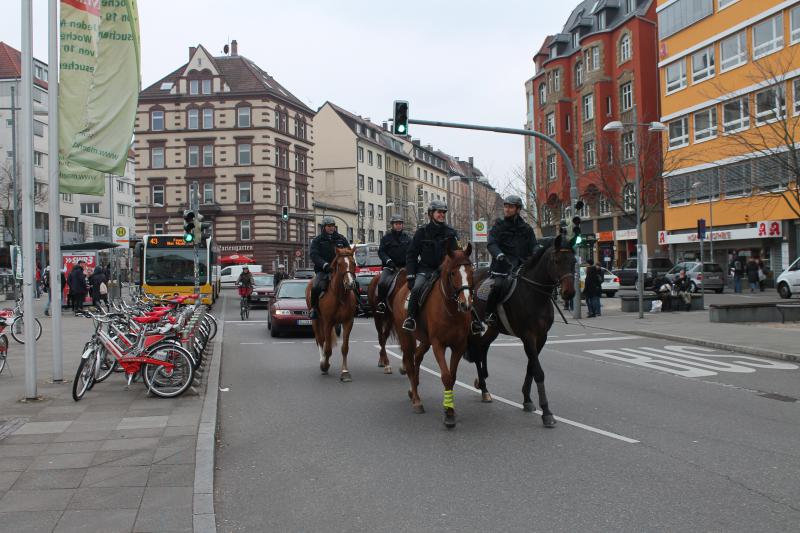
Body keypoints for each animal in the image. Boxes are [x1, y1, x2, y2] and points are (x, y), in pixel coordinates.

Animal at [304, 247, 358, 380]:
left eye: (353, 263)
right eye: (339, 264)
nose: (350, 284)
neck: (340, 296)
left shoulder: (348, 322)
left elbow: (345, 348)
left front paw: (345, 372)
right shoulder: (328, 322)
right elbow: (328, 348)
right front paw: (324, 365)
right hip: (316, 320)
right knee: (320, 340)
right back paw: (322, 361)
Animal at [390, 243, 472, 426]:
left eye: (471, 270)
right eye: (453, 273)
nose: (466, 304)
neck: (450, 310)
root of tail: (401, 290)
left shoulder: (459, 346)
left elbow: (453, 377)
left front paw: (450, 410)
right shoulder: (438, 345)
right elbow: (446, 376)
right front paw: (448, 414)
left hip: (425, 341)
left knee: (417, 358)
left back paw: (413, 391)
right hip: (407, 338)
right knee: (410, 364)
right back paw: (417, 401)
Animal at [466, 235, 580, 426]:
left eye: (573, 261)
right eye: (556, 261)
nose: (569, 293)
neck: (535, 294)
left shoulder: (541, 337)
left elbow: (531, 368)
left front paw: (527, 400)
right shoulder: (528, 336)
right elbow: (538, 372)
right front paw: (546, 412)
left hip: (494, 329)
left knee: (482, 347)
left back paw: (483, 385)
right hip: (473, 324)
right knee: (476, 349)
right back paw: (483, 388)